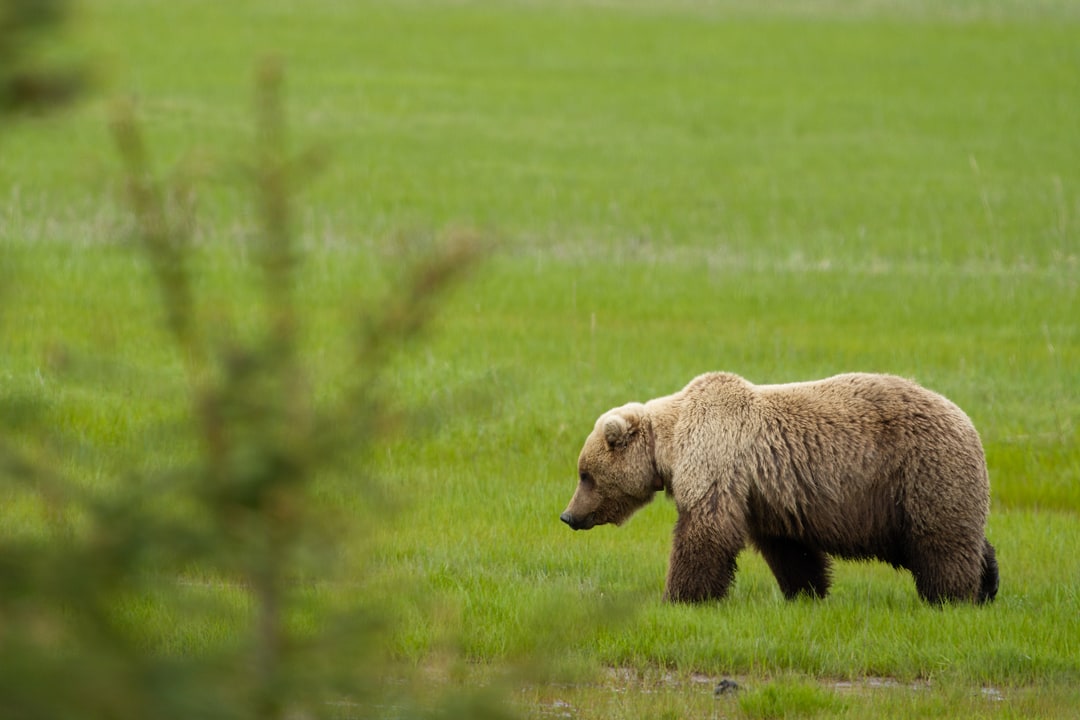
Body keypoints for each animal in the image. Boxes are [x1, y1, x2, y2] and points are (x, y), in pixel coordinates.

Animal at [559, 372, 999, 605]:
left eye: (585, 475)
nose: (568, 515)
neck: (670, 444)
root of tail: (969, 422)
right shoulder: (767, 494)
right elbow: (789, 549)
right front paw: (806, 592)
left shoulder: (716, 456)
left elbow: (705, 529)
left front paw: (681, 596)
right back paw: (987, 584)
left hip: (921, 471)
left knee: (940, 541)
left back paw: (950, 596)